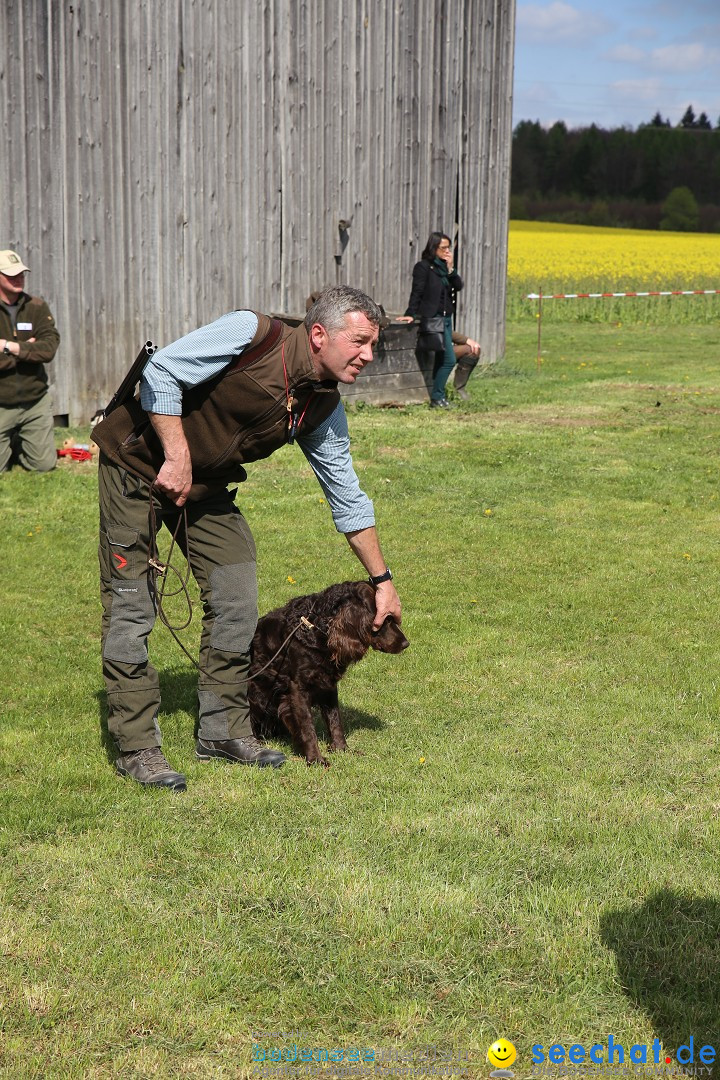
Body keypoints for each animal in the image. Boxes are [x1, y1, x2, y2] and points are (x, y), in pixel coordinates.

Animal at [248, 578, 408, 764]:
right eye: (386, 620)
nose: (406, 643)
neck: (315, 629)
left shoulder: (328, 685)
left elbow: (335, 720)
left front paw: (342, 749)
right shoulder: (298, 688)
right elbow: (307, 727)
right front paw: (315, 759)